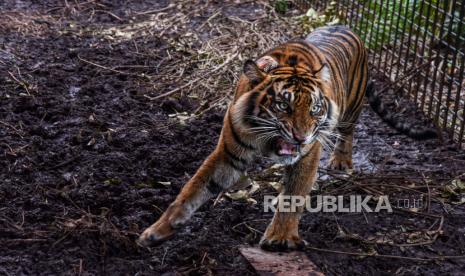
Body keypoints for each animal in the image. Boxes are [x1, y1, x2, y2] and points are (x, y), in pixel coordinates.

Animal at [137, 24, 436, 251]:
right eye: (283, 105)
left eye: (314, 108)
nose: (301, 137)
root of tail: (346, 25)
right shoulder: (228, 153)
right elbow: (193, 189)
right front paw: (156, 231)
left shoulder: (308, 155)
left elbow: (293, 195)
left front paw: (279, 239)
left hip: (351, 108)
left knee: (348, 132)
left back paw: (341, 162)